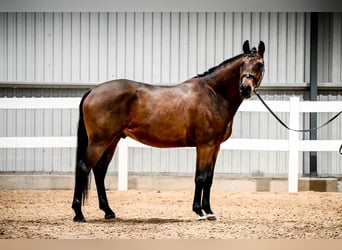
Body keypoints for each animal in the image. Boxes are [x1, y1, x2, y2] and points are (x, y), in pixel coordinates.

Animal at [71, 40, 264, 222]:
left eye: (259, 64)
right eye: (242, 64)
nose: (245, 89)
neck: (213, 94)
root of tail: (92, 91)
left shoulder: (215, 147)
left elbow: (209, 179)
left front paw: (209, 211)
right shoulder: (205, 146)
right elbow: (200, 178)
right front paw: (199, 211)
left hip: (112, 141)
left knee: (99, 171)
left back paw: (108, 211)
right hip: (99, 142)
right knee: (83, 167)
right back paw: (79, 213)